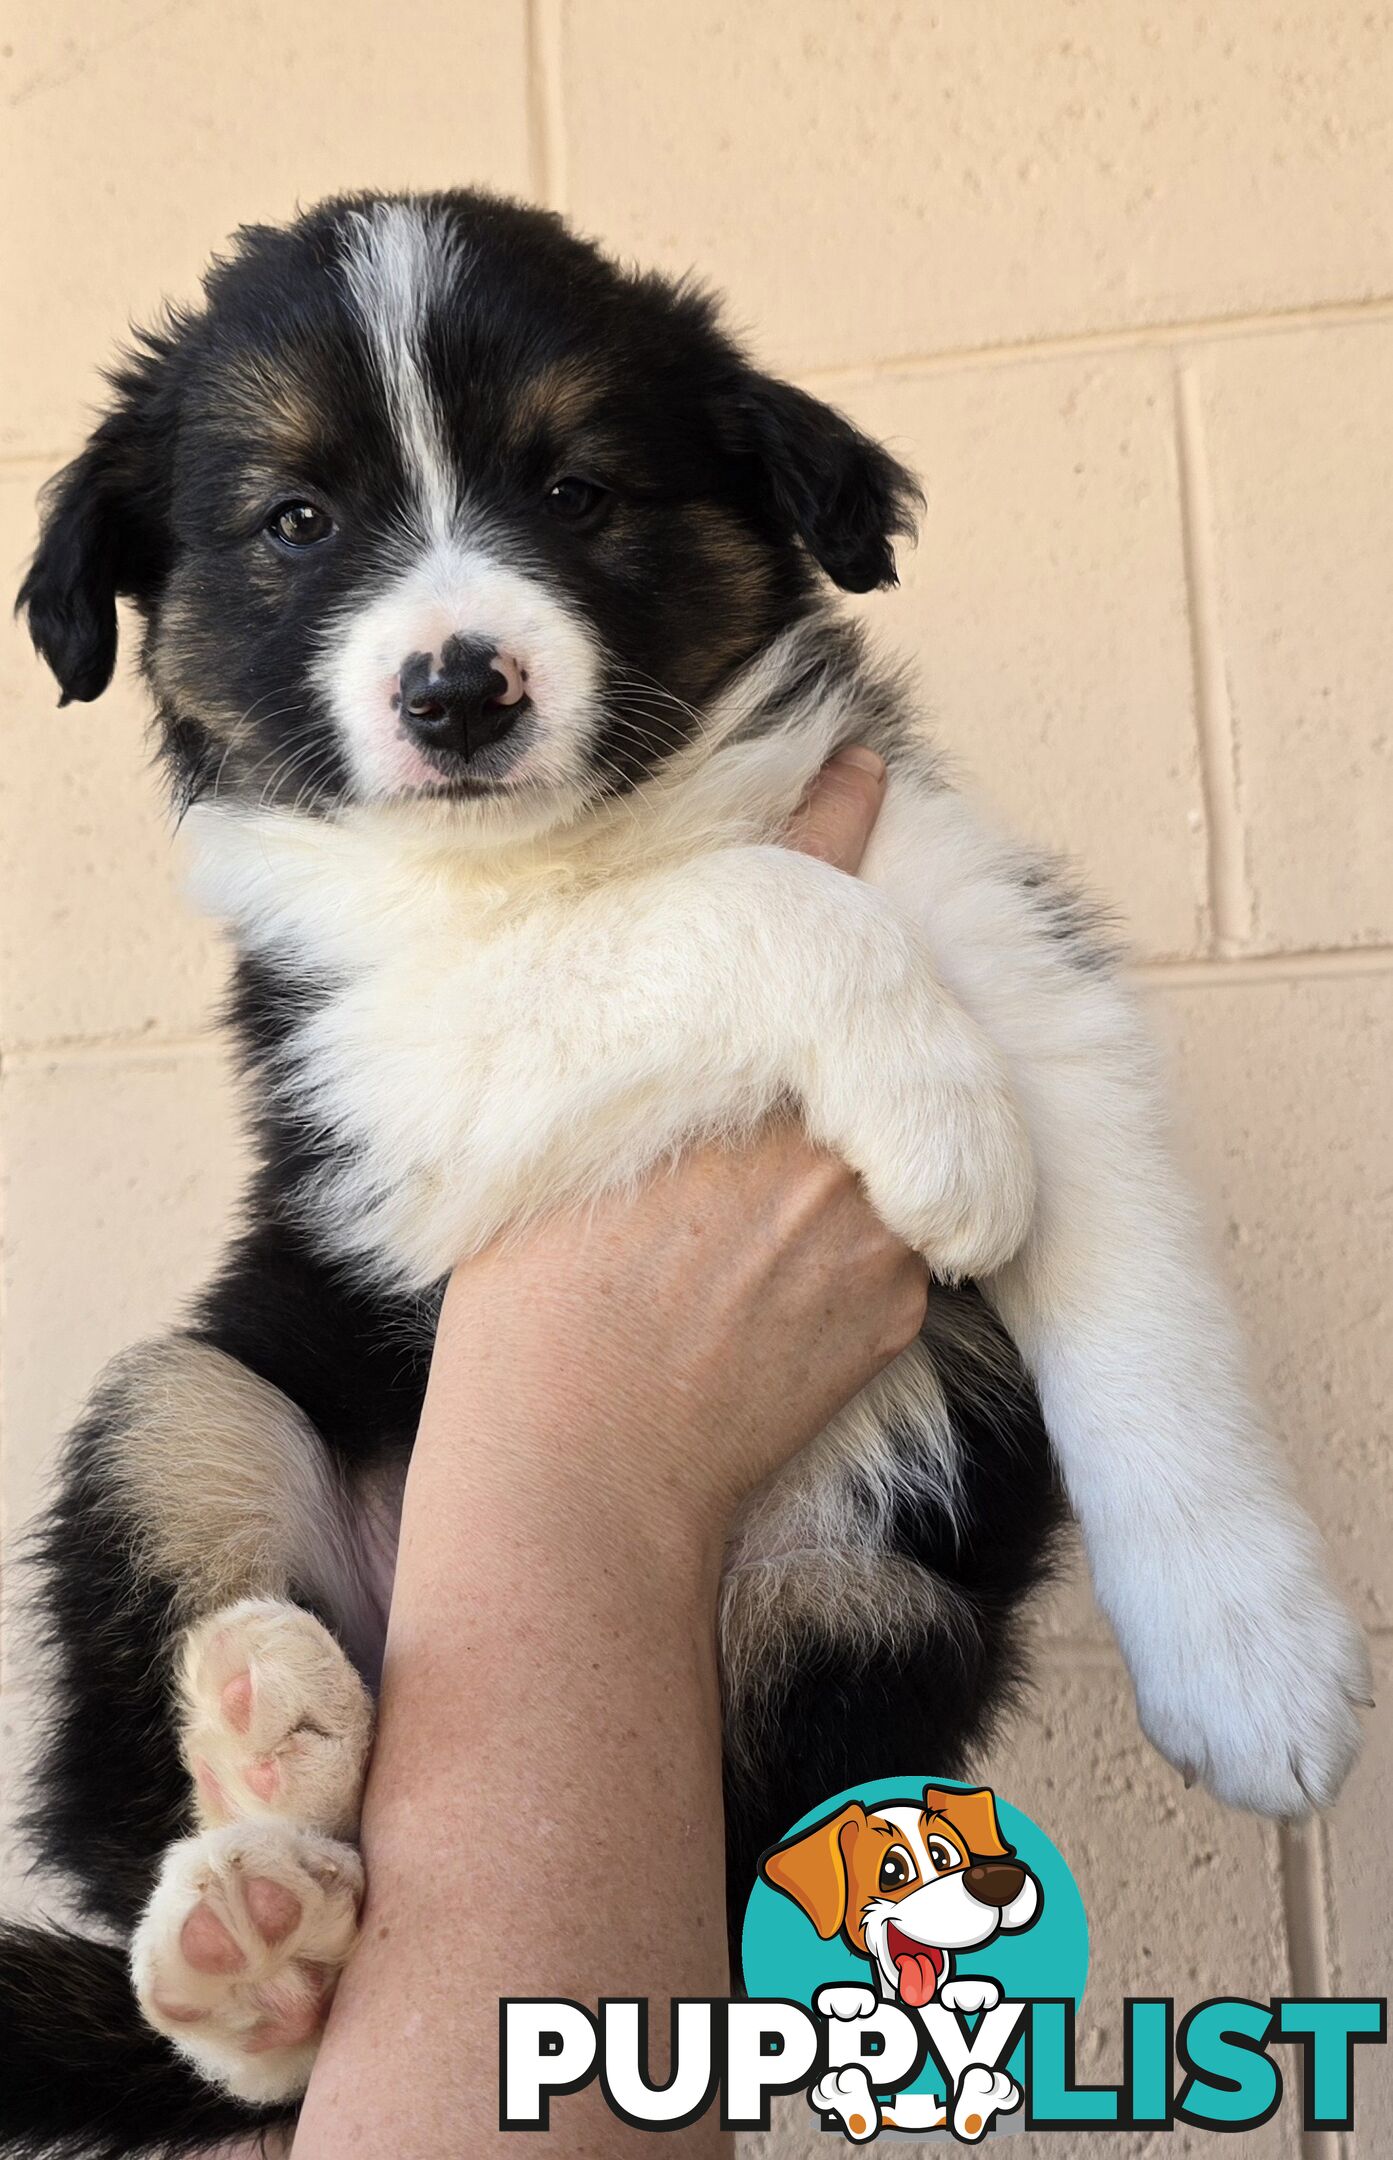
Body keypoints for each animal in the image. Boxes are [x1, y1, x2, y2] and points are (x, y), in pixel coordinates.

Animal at [0, 190, 1364, 2160]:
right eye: (296, 521)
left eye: (578, 492)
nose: (458, 689)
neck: (584, 833)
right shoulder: (403, 1065)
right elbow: (743, 904)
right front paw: (941, 1131)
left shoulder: (1030, 982)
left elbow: (1151, 1336)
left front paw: (1257, 1669)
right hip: (187, 1406)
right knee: (175, 1915)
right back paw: (255, 1877)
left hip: (850, 1598)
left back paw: (288, 1804)